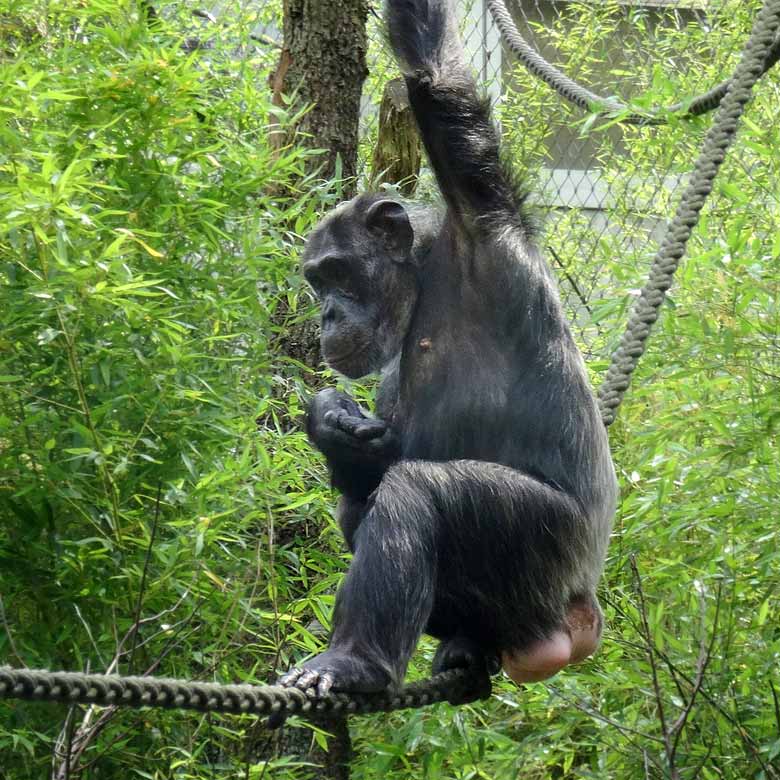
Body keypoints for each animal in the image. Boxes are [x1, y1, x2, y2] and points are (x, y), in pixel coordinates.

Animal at [280, 0, 616, 696]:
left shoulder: (481, 210)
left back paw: (352, 663)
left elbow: (435, 73)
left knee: (418, 495)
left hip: (545, 552)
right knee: (358, 508)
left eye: (336, 272)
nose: (326, 312)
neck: (427, 271)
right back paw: (468, 649)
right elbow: (381, 448)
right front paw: (330, 419)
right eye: (315, 280)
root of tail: (578, 621)